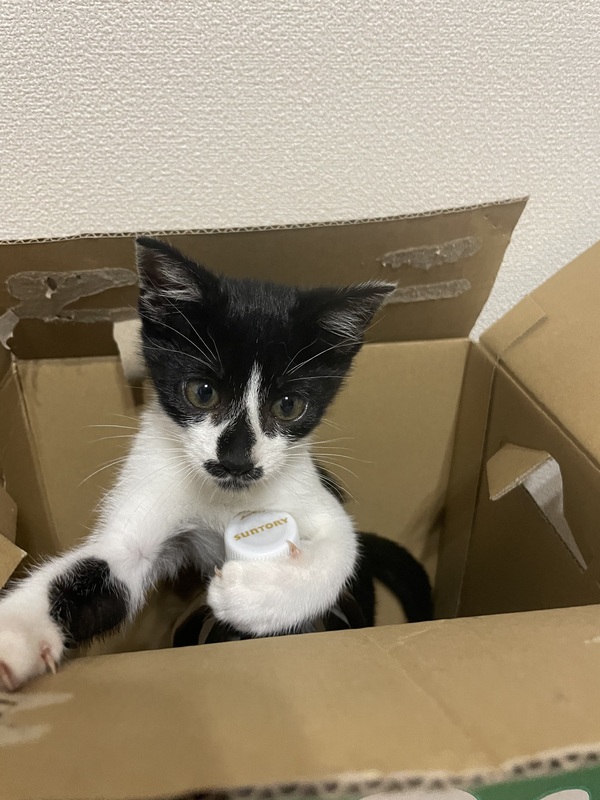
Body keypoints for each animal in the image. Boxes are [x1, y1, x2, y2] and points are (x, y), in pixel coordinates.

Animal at [0, 236, 396, 691]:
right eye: (202, 392)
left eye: (288, 405)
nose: (236, 460)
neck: (225, 497)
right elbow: (106, 562)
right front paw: (14, 633)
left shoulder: (310, 490)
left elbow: (341, 545)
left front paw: (250, 595)